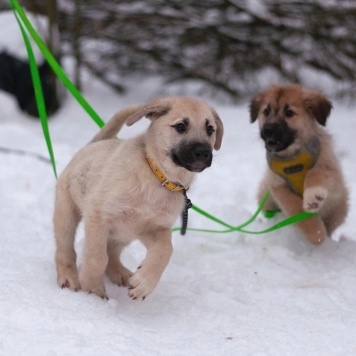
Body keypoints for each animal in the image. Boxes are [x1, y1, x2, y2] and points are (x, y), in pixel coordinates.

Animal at [54, 96, 224, 300]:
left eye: (210, 129)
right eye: (181, 126)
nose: (204, 153)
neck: (158, 177)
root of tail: (92, 145)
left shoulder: (153, 228)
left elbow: (166, 250)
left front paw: (144, 283)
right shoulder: (98, 216)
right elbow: (96, 257)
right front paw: (92, 290)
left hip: (124, 234)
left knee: (112, 253)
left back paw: (121, 273)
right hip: (67, 215)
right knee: (65, 250)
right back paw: (69, 277)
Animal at [250, 83, 348, 245]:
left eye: (289, 112)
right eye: (266, 111)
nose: (267, 130)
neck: (292, 157)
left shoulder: (331, 171)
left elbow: (315, 172)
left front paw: (313, 197)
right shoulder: (277, 185)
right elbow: (294, 206)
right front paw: (315, 231)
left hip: (340, 206)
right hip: (264, 194)